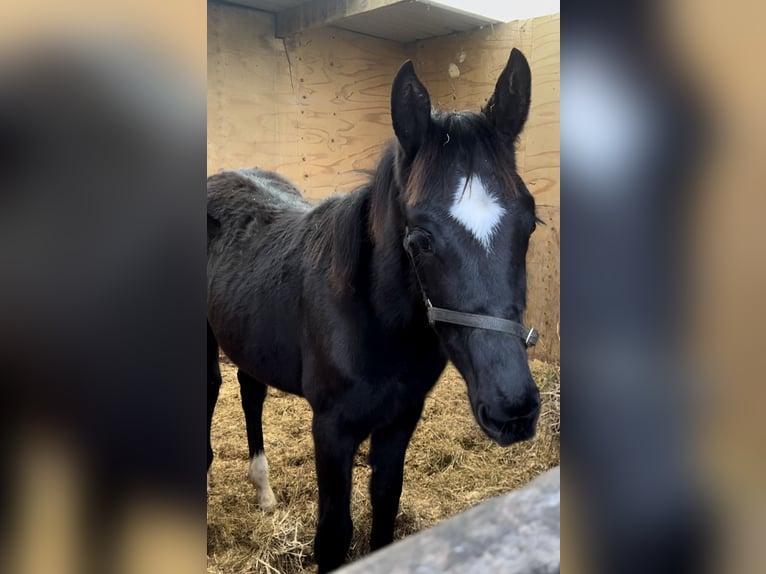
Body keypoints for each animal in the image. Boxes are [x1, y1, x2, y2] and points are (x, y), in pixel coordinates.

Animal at [208, 50, 540, 574]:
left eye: (530, 223)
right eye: (421, 239)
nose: (514, 408)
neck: (375, 325)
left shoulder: (400, 420)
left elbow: (385, 514)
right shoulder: (332, 431)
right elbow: (333, 536)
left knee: (250, 391)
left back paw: (264, 493)